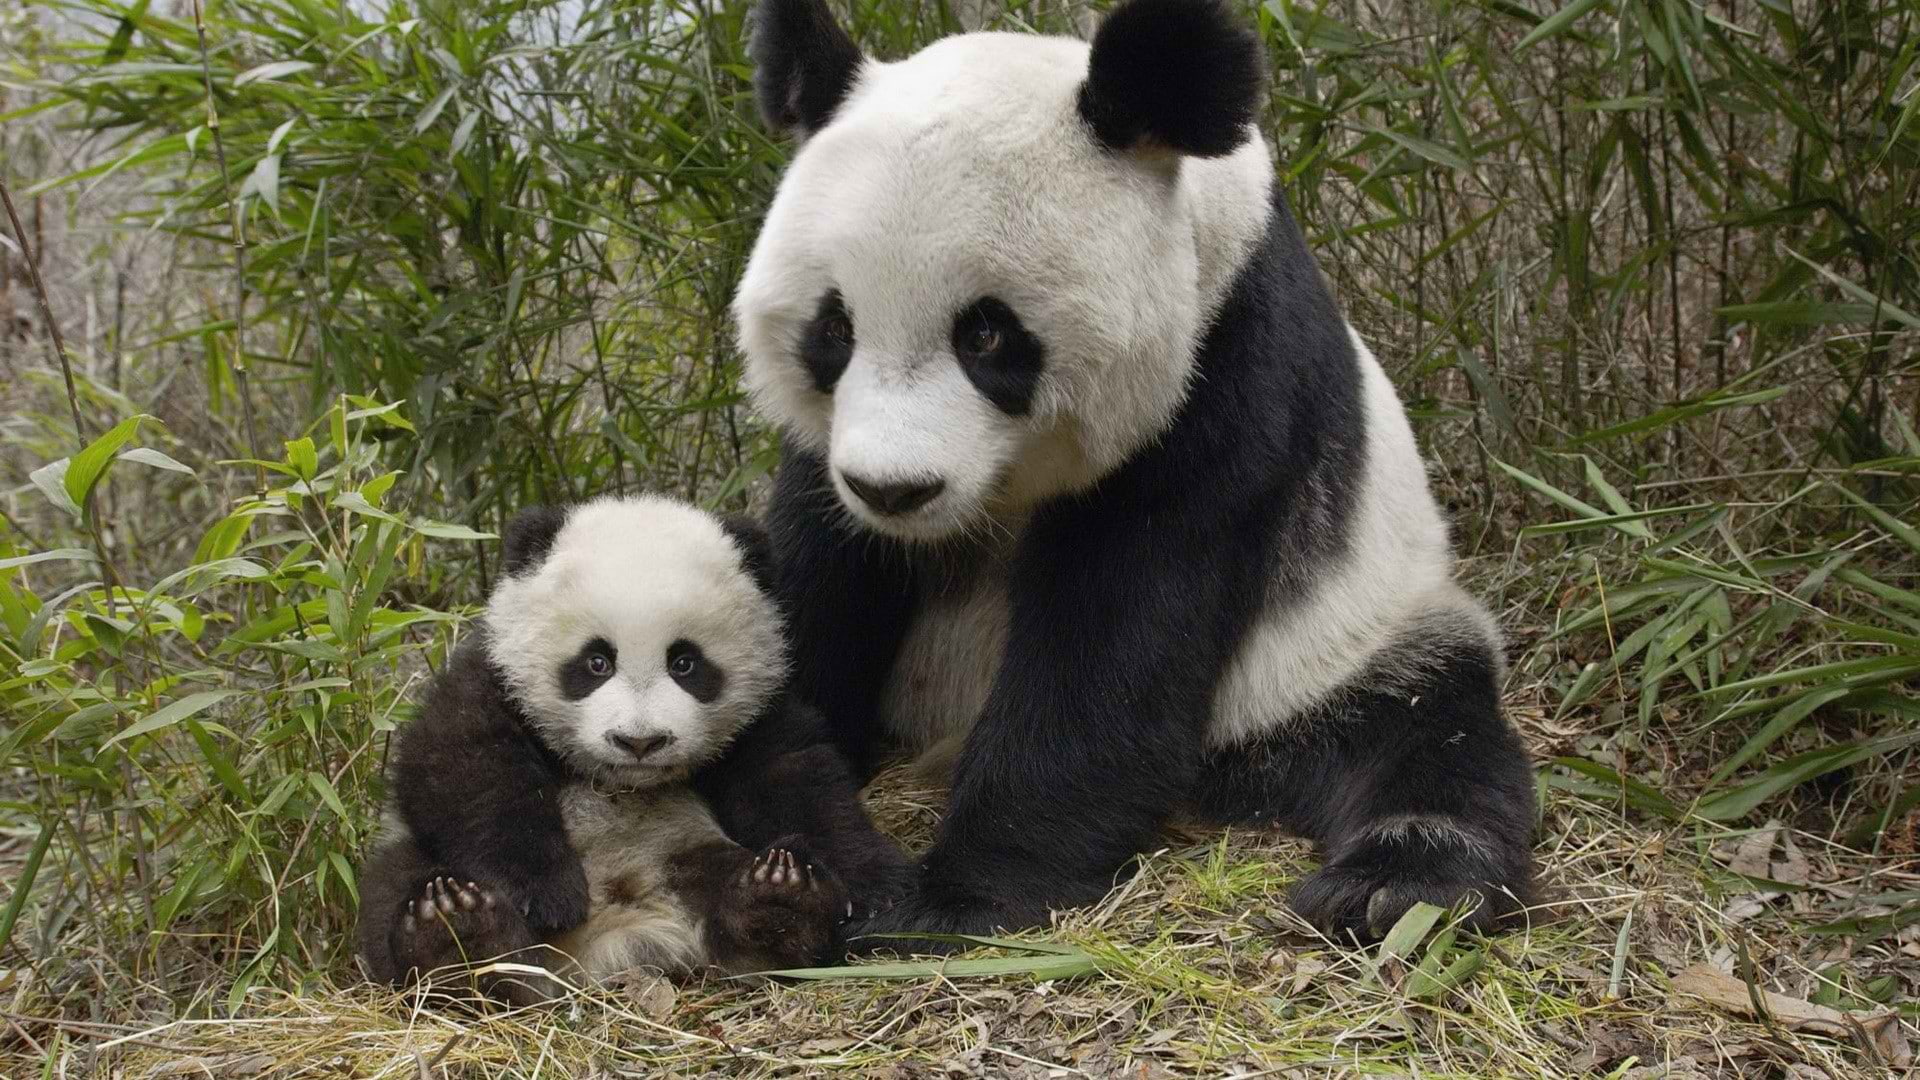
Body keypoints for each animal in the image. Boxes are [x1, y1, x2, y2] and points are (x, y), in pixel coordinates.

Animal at [356, 495, 911, 1002]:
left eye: (685, 663)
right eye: (596, 661)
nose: (640, 741)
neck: (621, 782)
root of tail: (615, 939)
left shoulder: (761, 711)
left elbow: (798, 779)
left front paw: (877, 887)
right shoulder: (491, 675)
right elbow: (462, 767)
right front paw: (546, 893)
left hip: (685, 851)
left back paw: (781, 901)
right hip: (414, 862)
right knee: (396, 883)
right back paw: (457, 937)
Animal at [731, 0, 1537, 943]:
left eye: (986, 334)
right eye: (834, 330)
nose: (895, 490)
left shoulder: (1225, 373)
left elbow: (1117, 634)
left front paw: (954, 897)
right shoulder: (827, 458)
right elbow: (818, 582)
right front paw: (799, 852)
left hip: (1342, 642)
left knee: (1426, 727)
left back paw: (1395, 885)